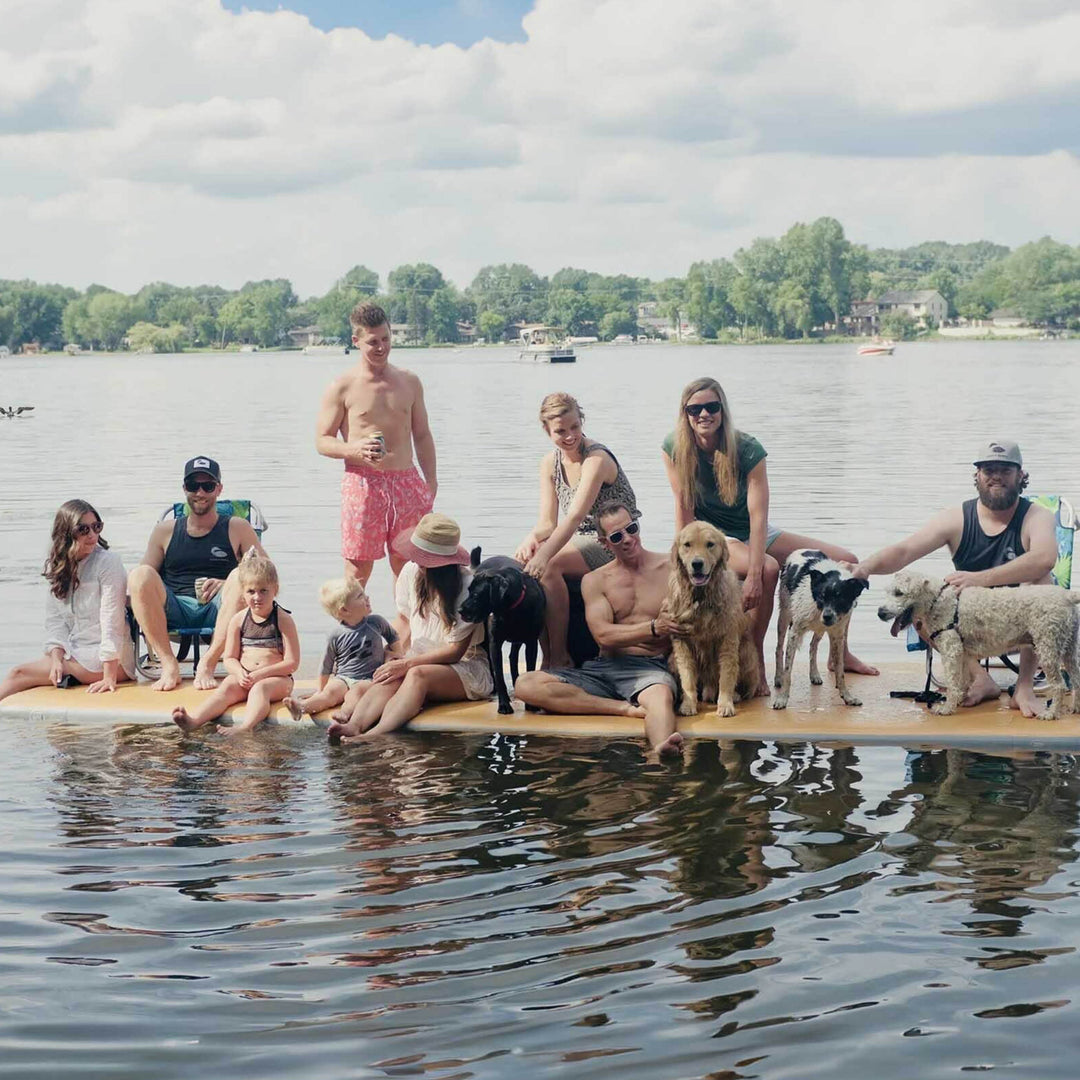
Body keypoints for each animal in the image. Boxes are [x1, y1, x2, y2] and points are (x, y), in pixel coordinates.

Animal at [460, 544, 548, 712]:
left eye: (476, 595)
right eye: (468, 591)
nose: (460, 610)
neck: (511, 609)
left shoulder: (531, 642)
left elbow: (530, 667)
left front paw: (530, 704)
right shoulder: (495, 643)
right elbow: (499, 675)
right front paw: (504, 704)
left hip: (518, 638)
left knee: (513, 657)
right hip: (486, 639)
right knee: (491, 662)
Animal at [665, 520, 760, 717]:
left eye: (710, 544)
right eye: (687, 545)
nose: (697, 564)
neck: (700, 597)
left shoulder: (728, 639)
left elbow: (726, 676)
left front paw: (725, 704)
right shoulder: (681, 641)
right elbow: (687, 677)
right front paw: (688, 704)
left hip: (747, 653)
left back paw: (736, 695)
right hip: (671, 660)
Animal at [768, 548, 868, 708]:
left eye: (840, 598)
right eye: (822, 596)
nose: (827, 616)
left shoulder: (837, 635)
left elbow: (840, 670)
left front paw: (847, 697)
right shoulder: (794, 632)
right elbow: (788, 671)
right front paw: (782, 699)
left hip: (820, 630)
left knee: (813, 646)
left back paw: (814, 674)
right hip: (784, 615)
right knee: (779, 648)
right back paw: (778, 677)